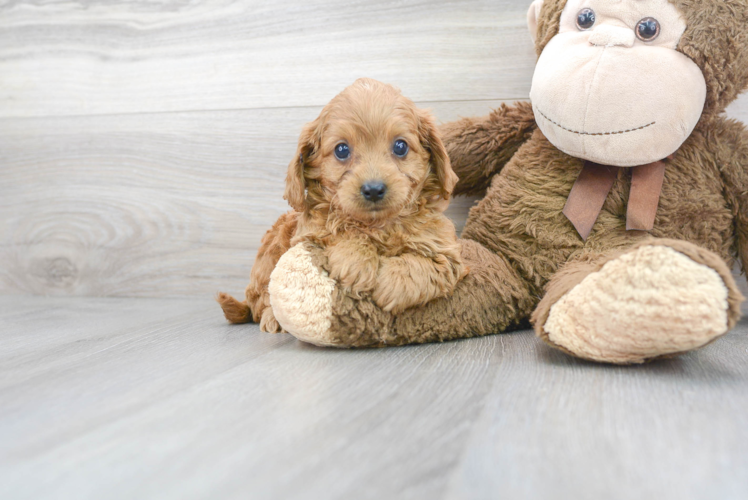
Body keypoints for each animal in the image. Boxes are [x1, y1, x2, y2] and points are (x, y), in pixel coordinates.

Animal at [218, 78, 468, 334]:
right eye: (341, 150)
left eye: (400, 147)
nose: (374, 189)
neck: (377, 225)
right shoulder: (307, 235)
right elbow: (339, 232)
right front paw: (357, 261)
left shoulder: (446, 253)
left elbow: (423, 265)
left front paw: (392, 284)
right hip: (271, 253)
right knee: (261, 301)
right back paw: (272, 318)